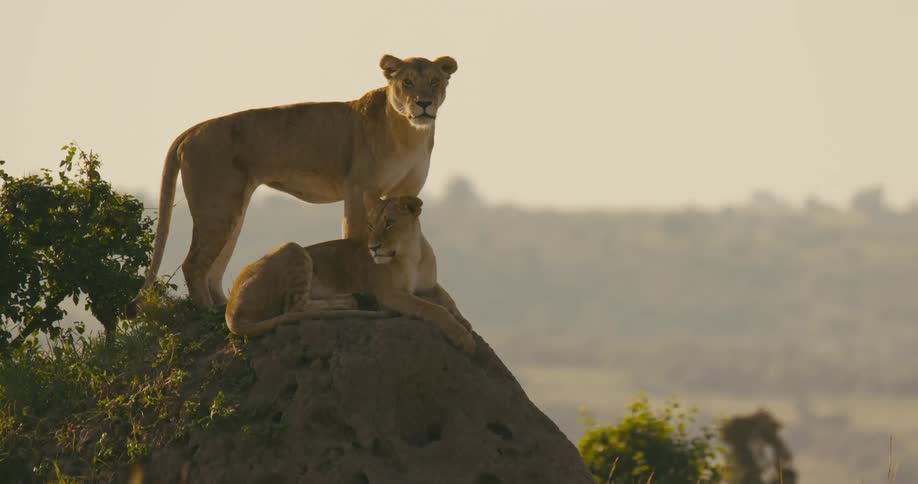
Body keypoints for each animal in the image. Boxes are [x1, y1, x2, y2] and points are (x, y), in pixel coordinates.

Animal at [131, 54, 458, 310]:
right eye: (407, 83)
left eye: (434, 82)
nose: (424, 103)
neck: (410, 133)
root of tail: (192, 129)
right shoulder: (358, 189)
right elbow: (354, 234)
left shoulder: (408, 191)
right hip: (217, 205)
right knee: (194, 263)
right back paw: (207, 311)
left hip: (232, 206)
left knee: (215, 265)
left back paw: (221, 305)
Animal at [224, 195, 475, 354]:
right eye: (371, 225)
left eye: (390, 223)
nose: (373, 248)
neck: (412, 253)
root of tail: (230, 309)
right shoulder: (389, 294)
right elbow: (431, 308)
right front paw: (463, 337)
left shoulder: (429, 285)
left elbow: (447, 299)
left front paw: (463, 320)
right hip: (293, 248)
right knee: (294, 307)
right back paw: (354, 301)